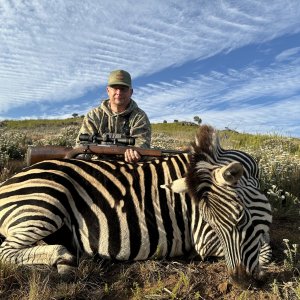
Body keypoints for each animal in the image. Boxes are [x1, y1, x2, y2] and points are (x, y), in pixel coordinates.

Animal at [0, 124, 272, 286]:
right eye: (212, 225)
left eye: (243, 220)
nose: (241, 282)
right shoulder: (202, 237)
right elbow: (266, 252)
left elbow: (265, 243)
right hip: (46, 201)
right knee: (6, 251)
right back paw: (63, 258)